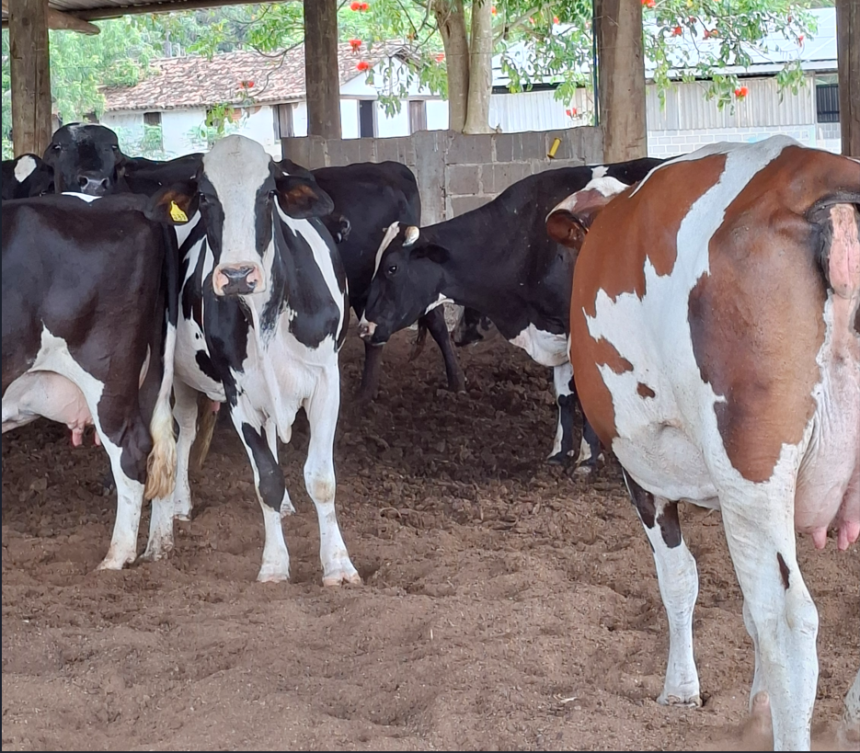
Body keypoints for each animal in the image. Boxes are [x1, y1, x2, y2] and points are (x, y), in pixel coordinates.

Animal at [2, 192, 179, 570]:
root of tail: (132, 203)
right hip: (154, 371)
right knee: (166, 441)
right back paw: (158, 549)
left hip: (107, 376)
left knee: (132, 449)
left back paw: (115, 559)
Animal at [140, 134, 360, 586]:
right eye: (206, 196)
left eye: (268, 194)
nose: (239, 275)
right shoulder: (237, 392)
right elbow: (266, 480)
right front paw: (275, 565)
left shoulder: (326, 382)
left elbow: (321, 478)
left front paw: (338, 565)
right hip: (168, 370)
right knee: (175, 435)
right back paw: (166, 525)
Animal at [357, 157, 664, 467]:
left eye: (392, 268)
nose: (364, 327)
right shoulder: (555, 328)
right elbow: (564, 396)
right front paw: (559, 455)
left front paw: (587, 460)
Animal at [545, 136, 860, 751]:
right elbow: (742, 607)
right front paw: (758, 707)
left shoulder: (640, 466)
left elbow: (681, 579)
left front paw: (680, 690)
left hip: (752, 468)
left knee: (788, 621)